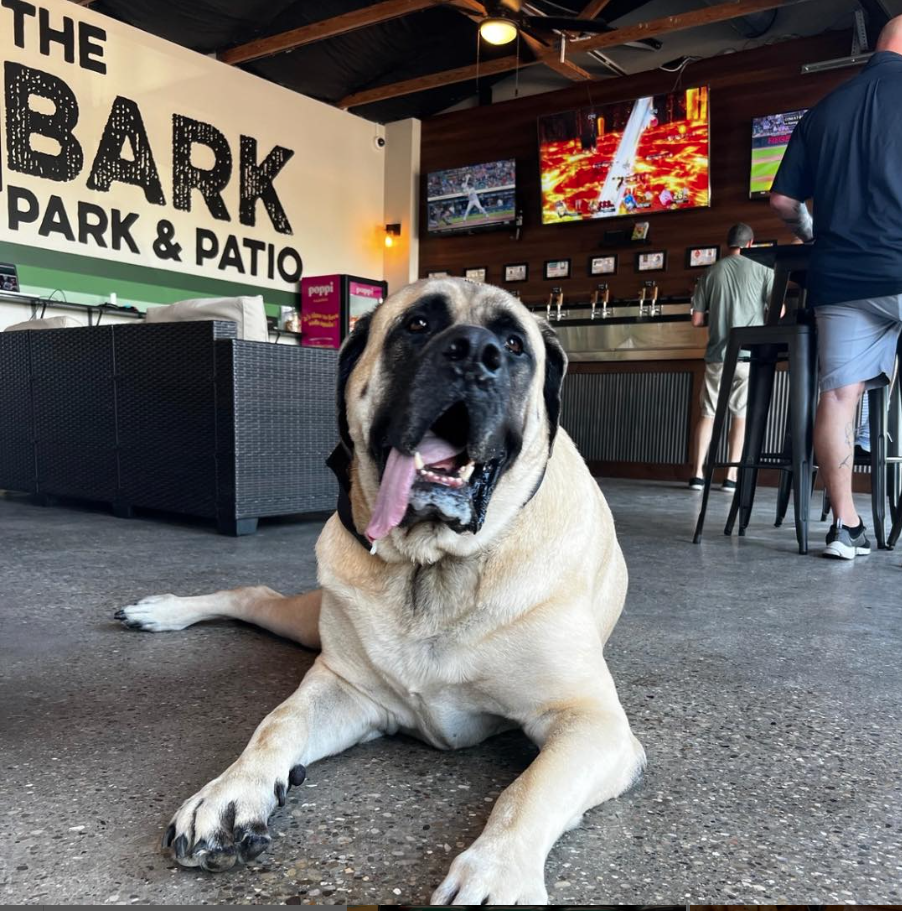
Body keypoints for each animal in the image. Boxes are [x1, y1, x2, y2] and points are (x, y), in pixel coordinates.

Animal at [116, 278, 648, 904]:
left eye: (514, 343)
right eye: (417, 325)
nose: (475, 351)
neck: (433, 565)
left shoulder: (591, 722)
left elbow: (527, 789)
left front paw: (497, 870)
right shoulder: (347, 687)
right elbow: (280, 721)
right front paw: (229, 793)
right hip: (309, 619)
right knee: (253, 594)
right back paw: (161, 612)